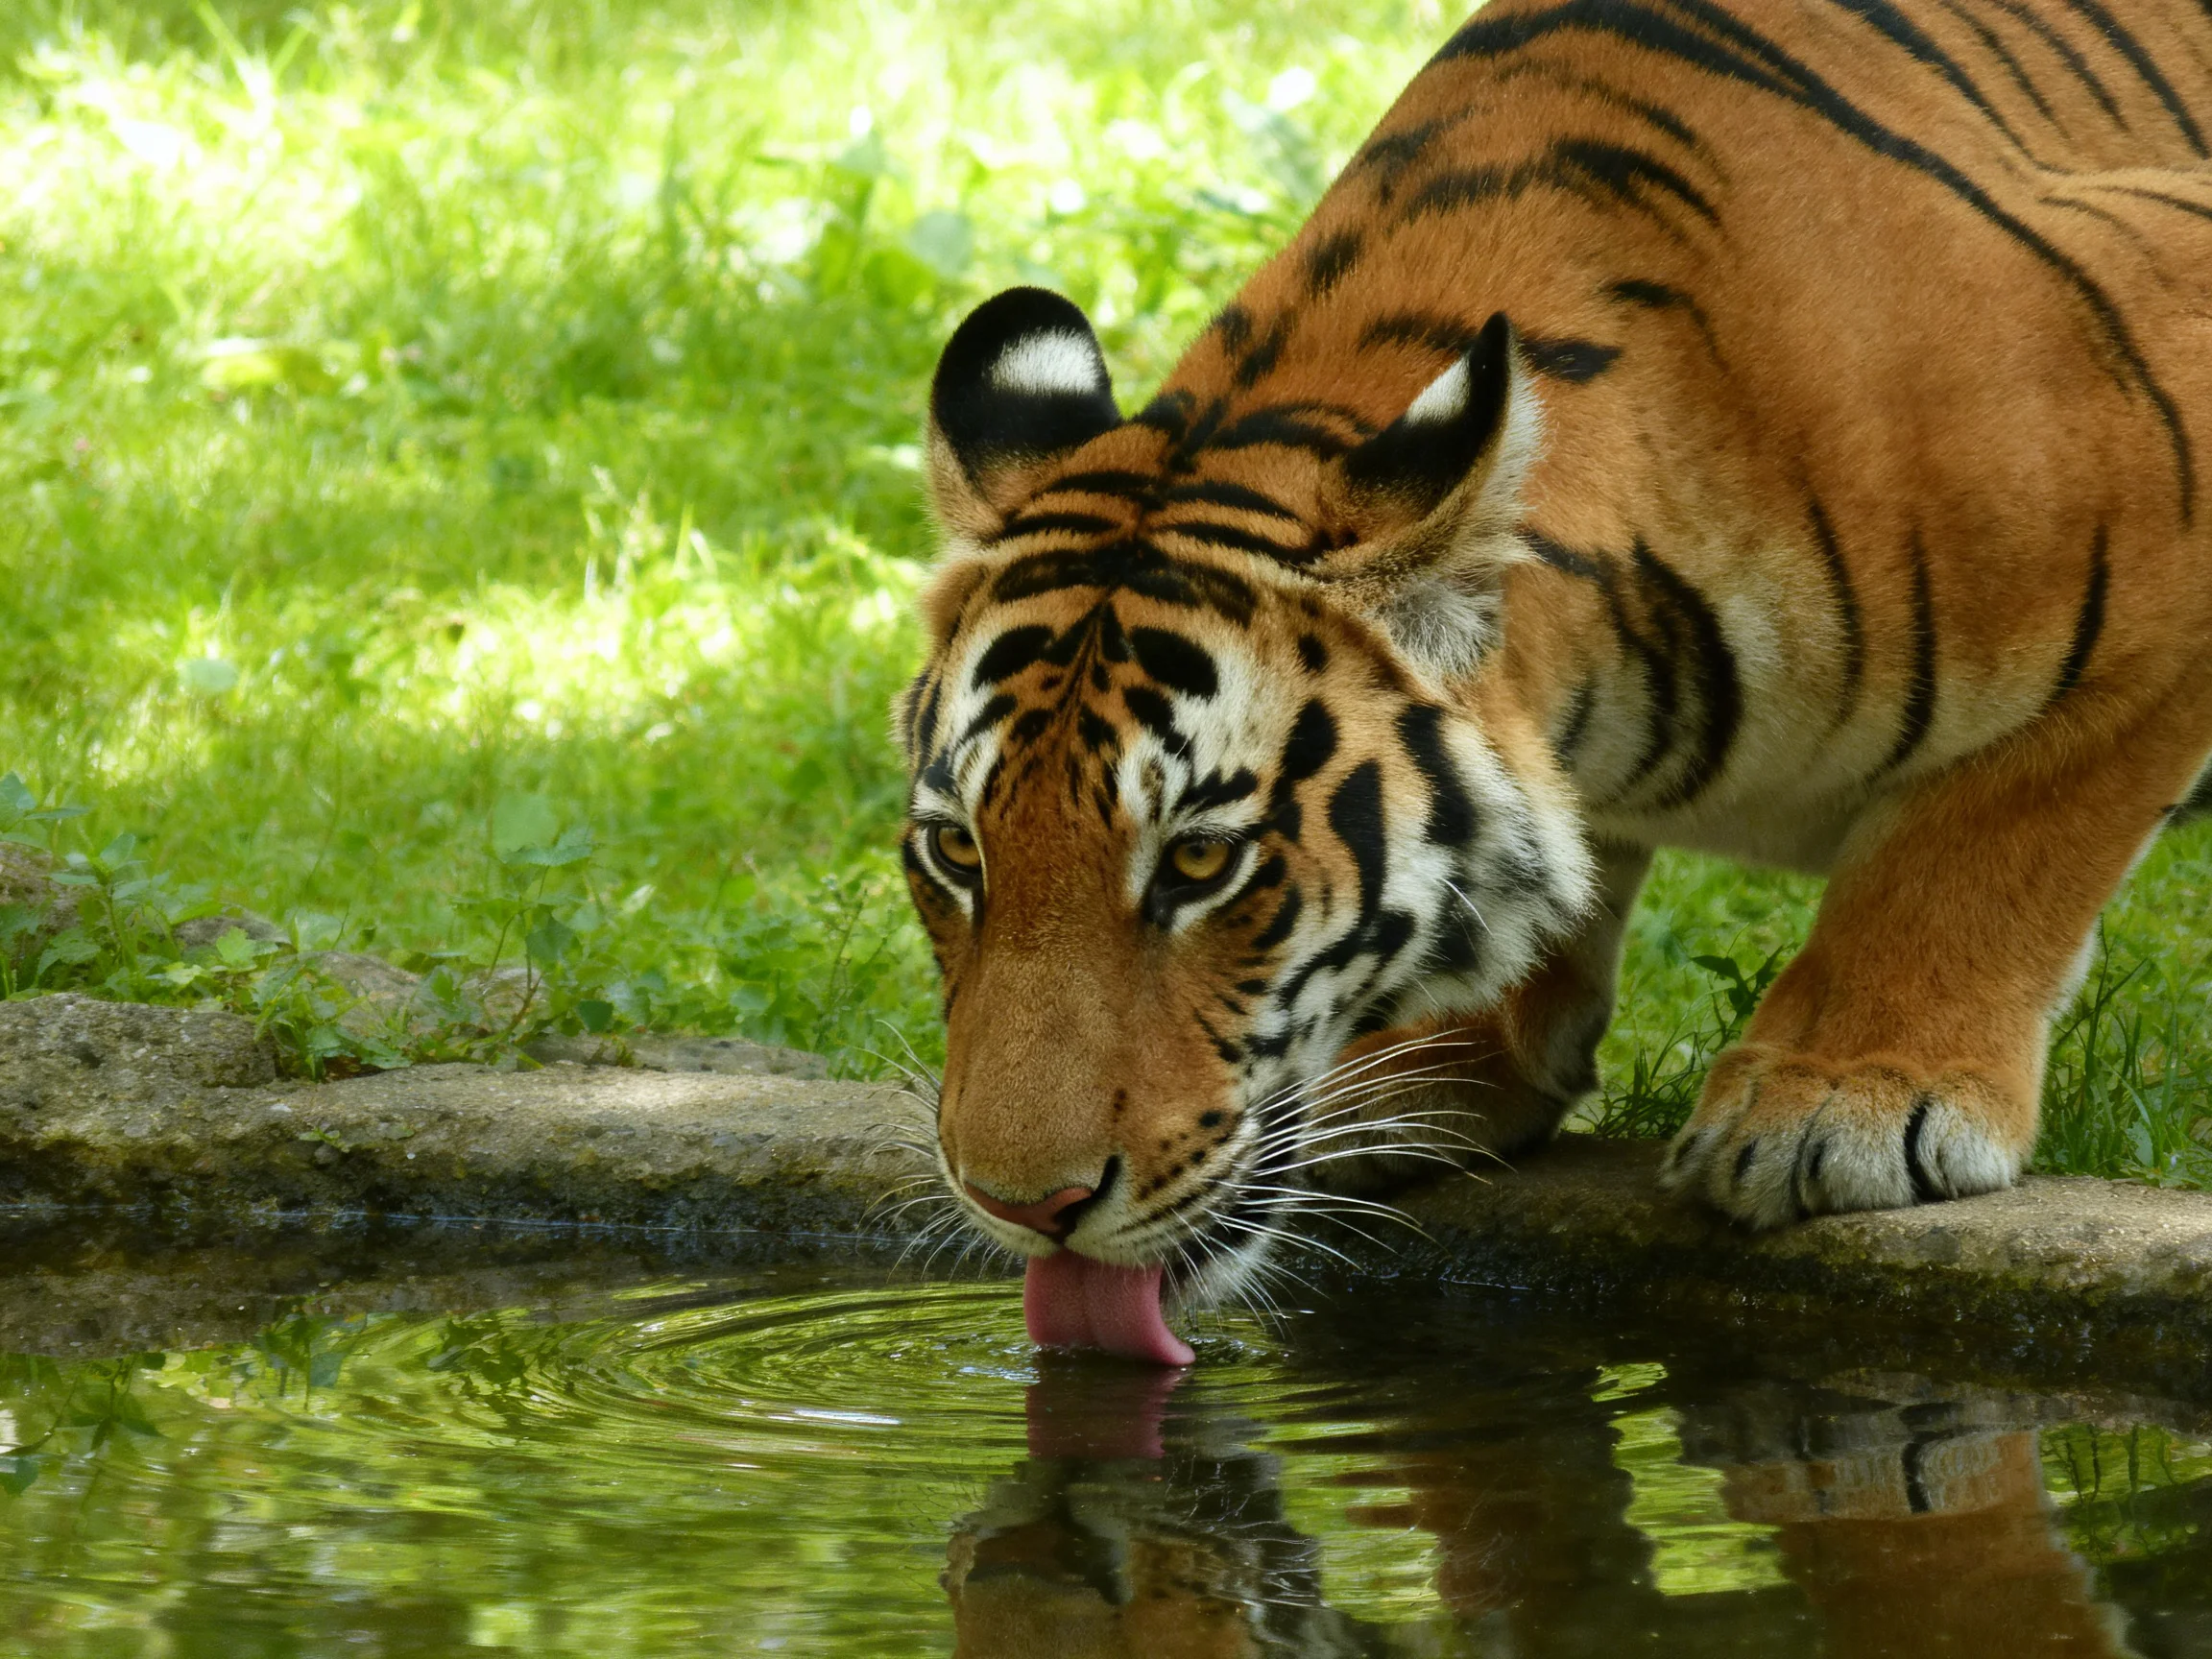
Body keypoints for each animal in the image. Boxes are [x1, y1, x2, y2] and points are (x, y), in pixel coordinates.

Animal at [895, 0, 2212, 1361]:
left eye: (1203, 862)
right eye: (957, 851)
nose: (1022, 1205)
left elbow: (1986, 843)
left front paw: (1848, 1098)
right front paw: (1434, 1063)